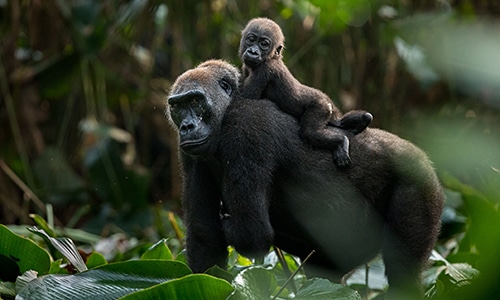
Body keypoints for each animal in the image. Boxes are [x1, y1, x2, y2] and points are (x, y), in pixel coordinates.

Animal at [166, 59, 444, 296]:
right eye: (177, 106)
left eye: (196, 101)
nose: (187, 127)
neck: (227, 110)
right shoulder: (188, 151)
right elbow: (205, 237)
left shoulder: (246, 127)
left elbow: (251, 233)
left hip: (420, 182)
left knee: (403, 275)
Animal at [240, 17, 374, 168]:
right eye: (251, 39)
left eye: (264, 44)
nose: (253, 52)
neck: (272, 57)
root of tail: (328, 102)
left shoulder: (264, 70)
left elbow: (248, 98)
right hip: (331, 112)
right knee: (340, 123)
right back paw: (361, 122)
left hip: (321, 107)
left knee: (311, 133)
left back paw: (341, 141)